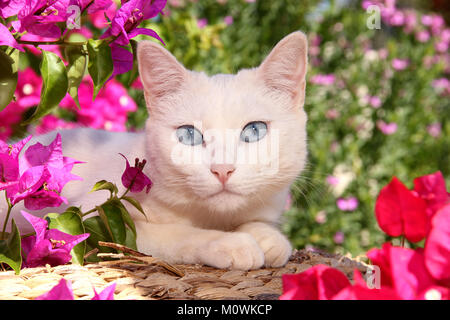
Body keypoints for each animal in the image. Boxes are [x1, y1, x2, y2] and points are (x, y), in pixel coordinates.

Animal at [0, 31, 310, 270]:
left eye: (254, 131)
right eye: (189, 135)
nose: (222, 169)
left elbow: (259, 223)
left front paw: (269, 238)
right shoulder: (96, 223)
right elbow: (177, 235)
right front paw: (229, 242)